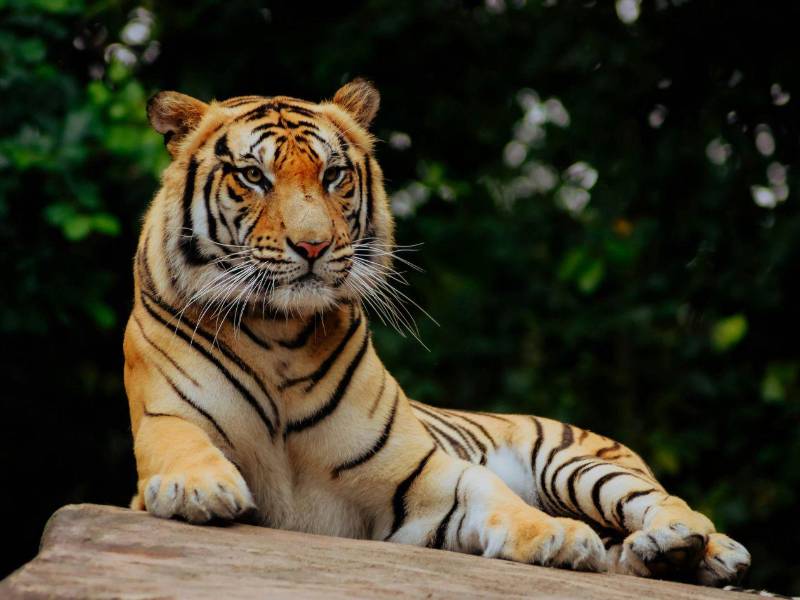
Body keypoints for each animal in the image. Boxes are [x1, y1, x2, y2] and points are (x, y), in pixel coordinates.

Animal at [123, 79, 751, 586]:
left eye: (333, 175)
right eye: (254, 176)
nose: (313, 246)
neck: (280, 334)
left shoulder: (418, 472)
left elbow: (488, 490)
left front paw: (558, 535)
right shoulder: (165, 417)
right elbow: (180, 444)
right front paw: (197, 488)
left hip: (577, 464)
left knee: (670, 501)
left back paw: (692, 546)